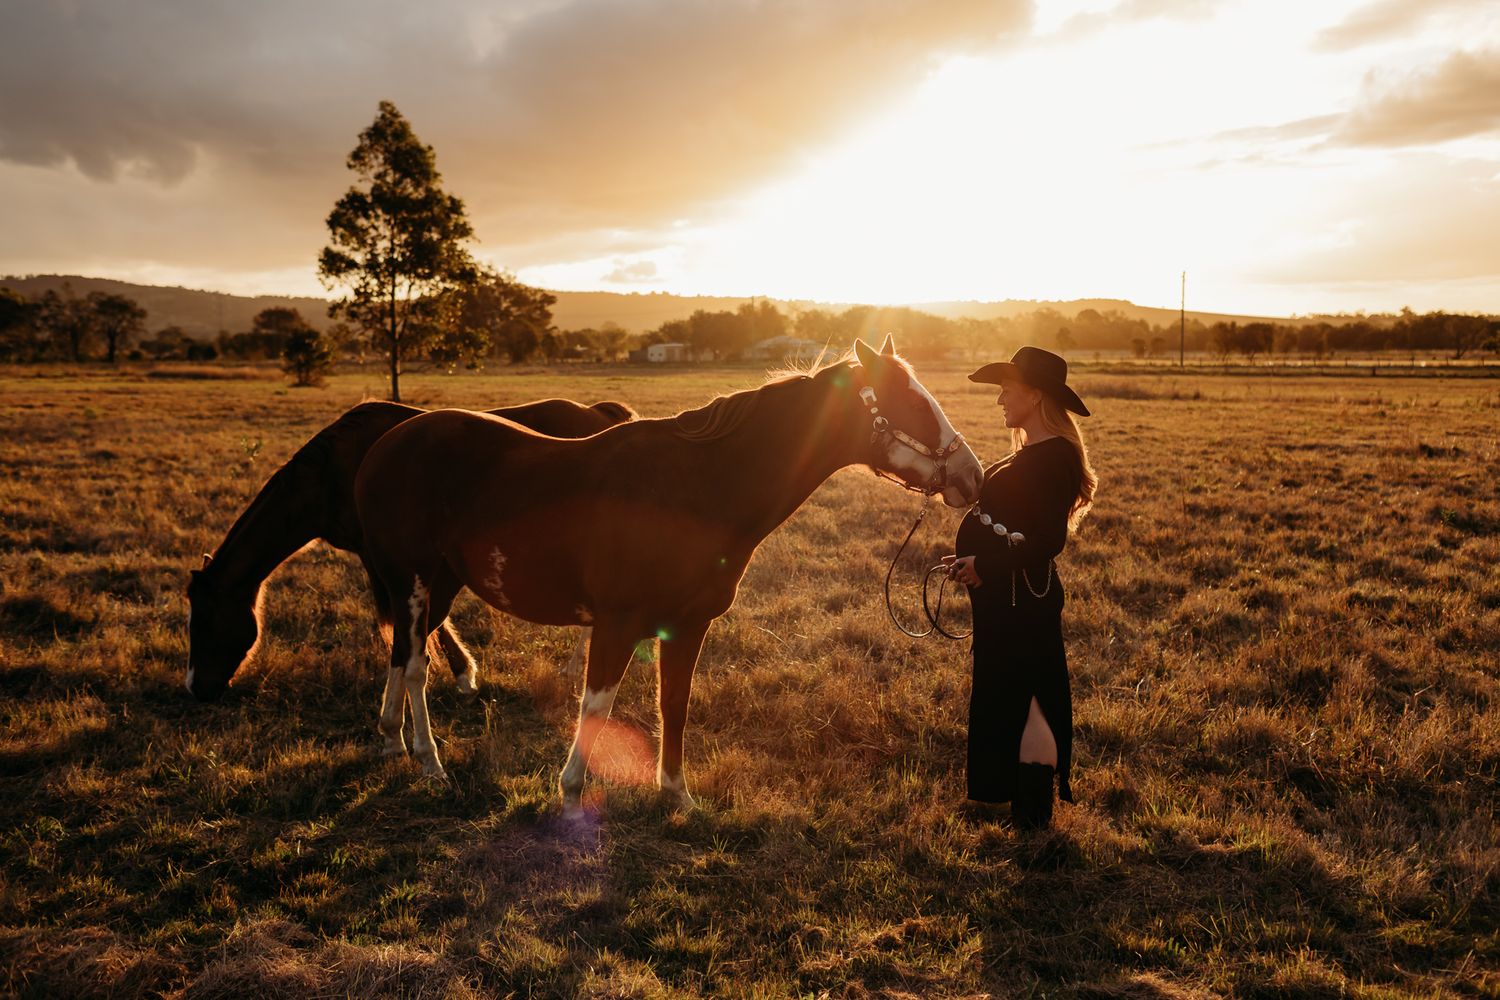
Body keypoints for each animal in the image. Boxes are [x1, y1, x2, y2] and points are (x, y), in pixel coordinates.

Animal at [185, 397, 637, 703]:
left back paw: (575, 666)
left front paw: (459, 675)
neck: (333, 472)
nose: (195, 689)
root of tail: (599, 413)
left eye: (203, 621)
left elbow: (414, 620)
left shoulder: (384, 555)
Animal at [353, 336, 983, 810]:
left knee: (401, 655)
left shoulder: (687, 625)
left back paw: (391, 741)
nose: (972, 476)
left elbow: (673, 704)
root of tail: (387, 443)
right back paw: (429, 762)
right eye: (914, 405)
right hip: (413, 580)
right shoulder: (616, 623)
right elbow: (597, 706)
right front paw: (572, 791)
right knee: (416, 666)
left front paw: (676, 795)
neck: (693, 488)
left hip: (438, 583)